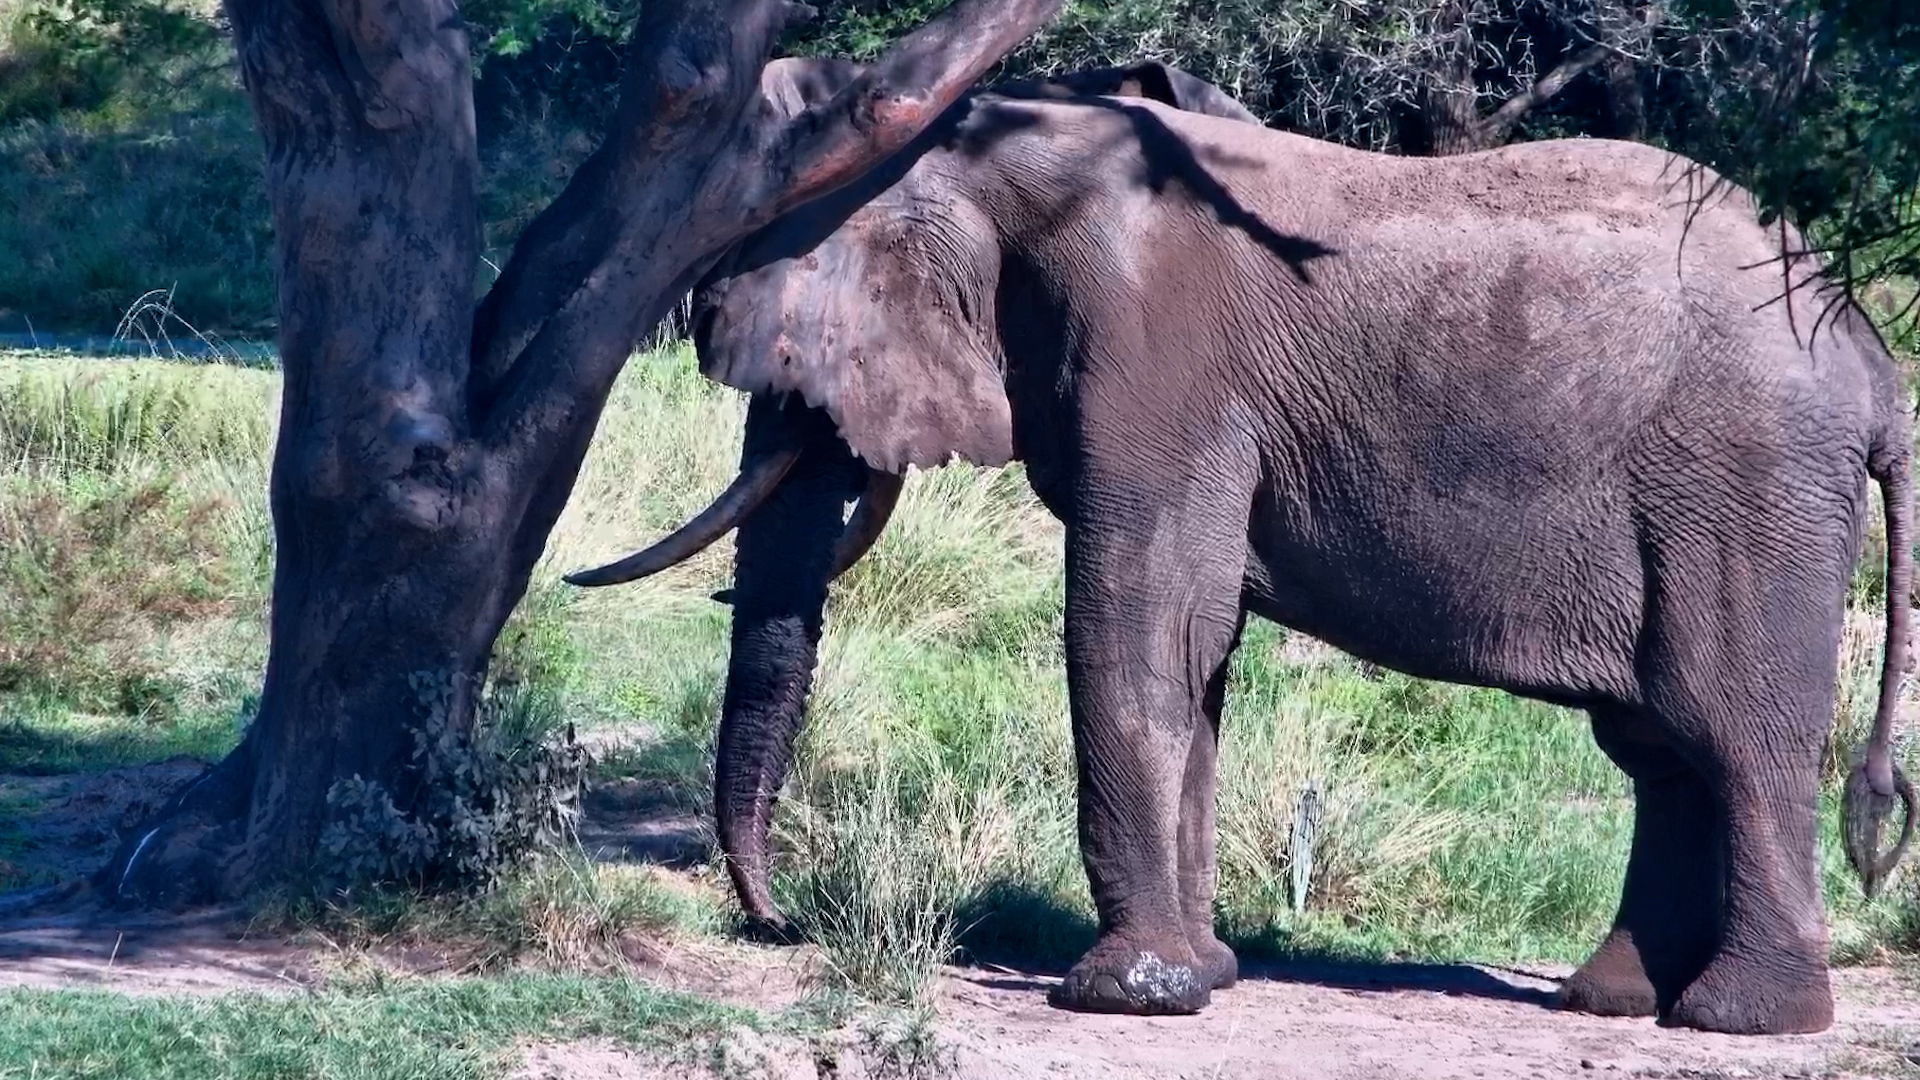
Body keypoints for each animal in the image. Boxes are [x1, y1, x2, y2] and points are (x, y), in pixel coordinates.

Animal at [567, 61, 1919, 1036]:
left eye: (794, 357)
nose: (779, 919)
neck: (999, 146)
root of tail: (1868, 356)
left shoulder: (1155, 362)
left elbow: (1138, 623)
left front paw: (1126, 997)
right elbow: (1191, 653)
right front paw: (1203, 974)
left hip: (1747, 489)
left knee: (1732, 731)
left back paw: (1742, 1022)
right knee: (1659, 748)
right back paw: (1615, 1000)